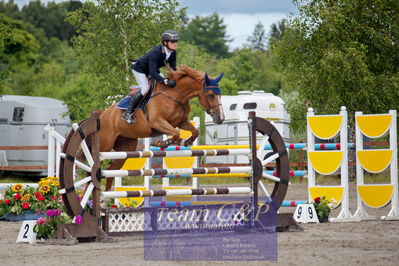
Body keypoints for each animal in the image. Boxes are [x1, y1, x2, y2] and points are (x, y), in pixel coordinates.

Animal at [97, 64, 225, 189]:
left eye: (220, 95)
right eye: (211, 95)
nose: (220, 118)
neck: (176, 95)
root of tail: (102, 114)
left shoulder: (181, 122)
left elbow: (194, 132)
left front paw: (186, 142)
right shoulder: (157, 122)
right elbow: (175, 133)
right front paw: (160, 143)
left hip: (126, 148)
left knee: (111, 170)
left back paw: (107, 196)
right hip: (105, 145)